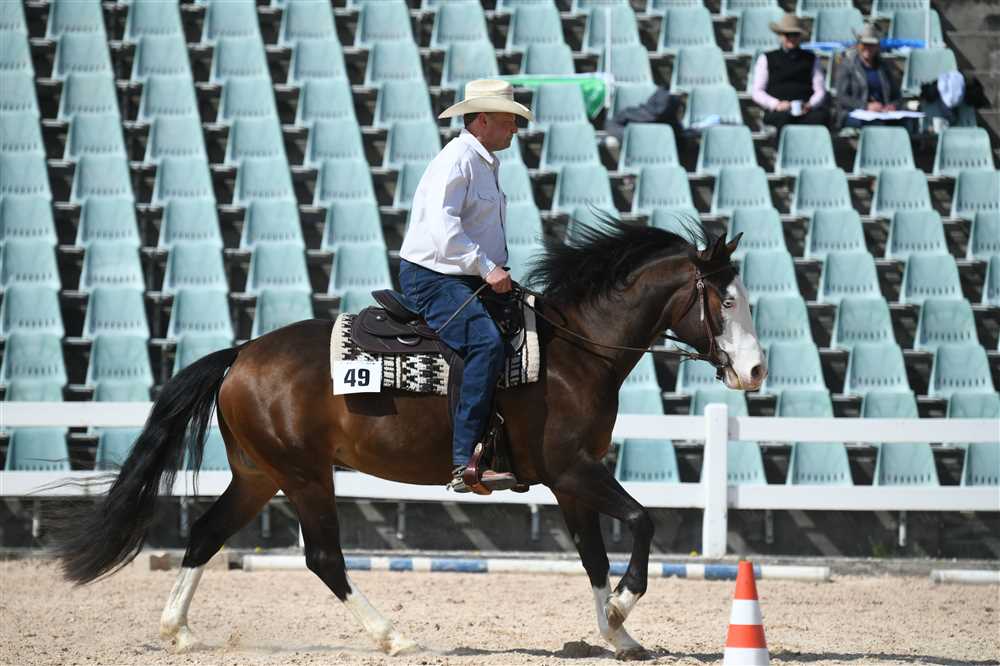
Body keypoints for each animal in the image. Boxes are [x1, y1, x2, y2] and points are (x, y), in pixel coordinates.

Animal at [53, 217, 767, 660]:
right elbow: (644, 521)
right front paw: (620, 614)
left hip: (259, 474)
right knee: (324, 558)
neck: (572, 352)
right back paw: (394, 637)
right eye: (727, 301)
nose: (756, 371)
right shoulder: (573, 470)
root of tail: (240, 356)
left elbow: (593, 557)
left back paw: (178, 632)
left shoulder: (572, 481)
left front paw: (617, 636)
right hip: (305, 476)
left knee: (205, 534)